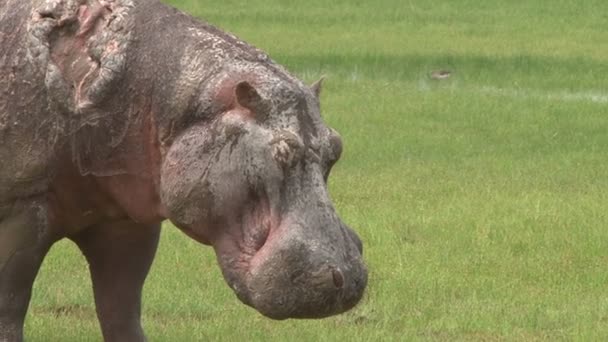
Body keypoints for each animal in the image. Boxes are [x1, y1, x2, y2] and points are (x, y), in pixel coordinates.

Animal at [0, 0, 366, 340]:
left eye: (336, 146)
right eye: (281, 151)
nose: (346, 276)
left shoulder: (127, 221)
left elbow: (121, 305)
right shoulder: (22, 209)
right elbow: (11, 303)